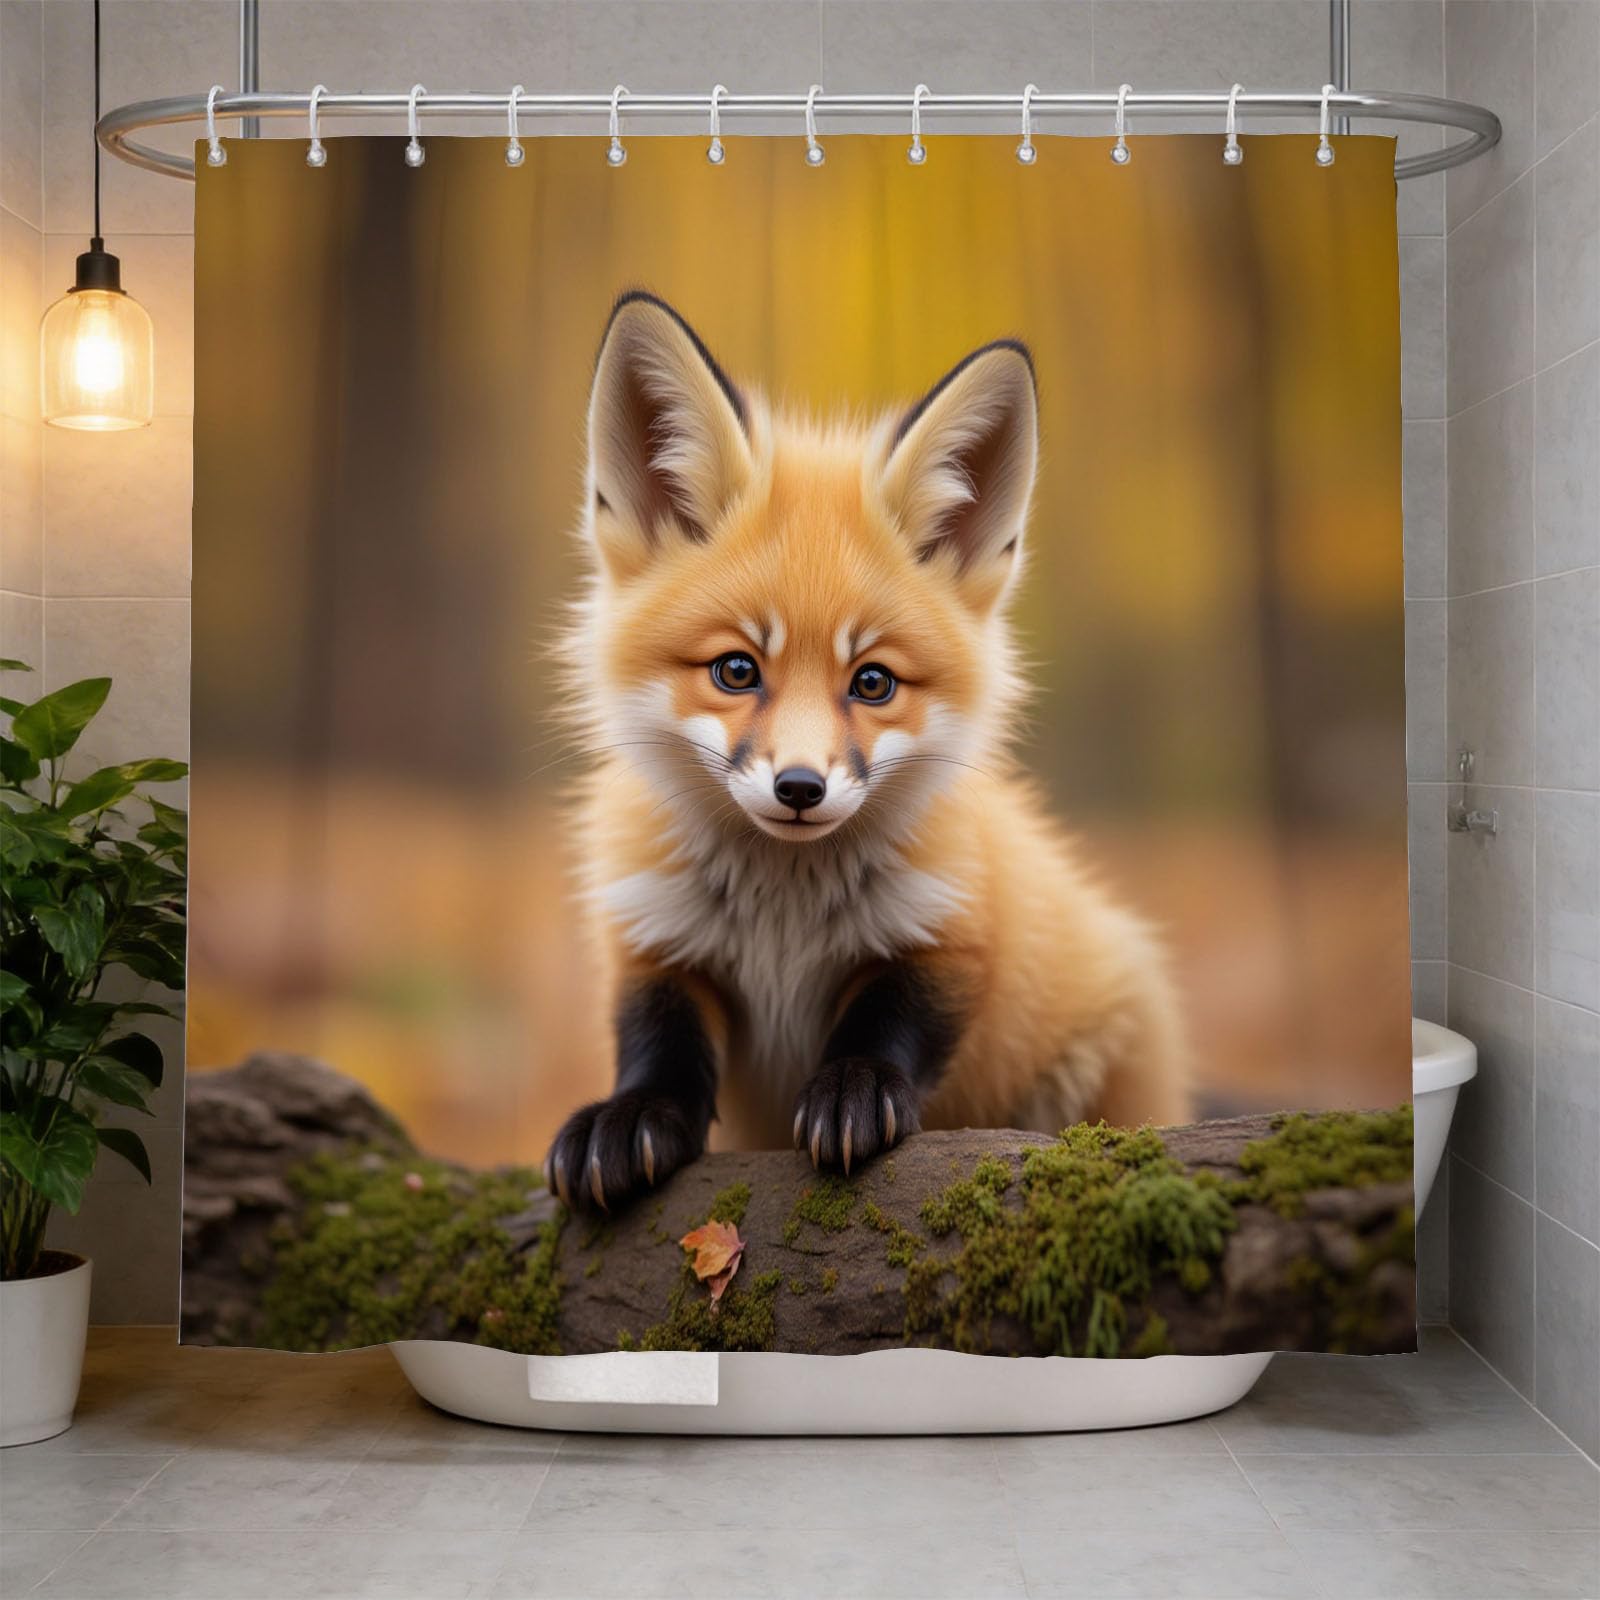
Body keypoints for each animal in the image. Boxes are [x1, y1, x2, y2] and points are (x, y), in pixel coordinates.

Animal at [545, 290, 1188, 1213]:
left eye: (874, 682)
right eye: (736, 670)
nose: (800, 788)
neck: (782, 917)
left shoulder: (952, 924)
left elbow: (891, 1021)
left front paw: (854, 1090)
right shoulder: (653, 934)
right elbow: (656, 1038)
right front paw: (631, 1114)